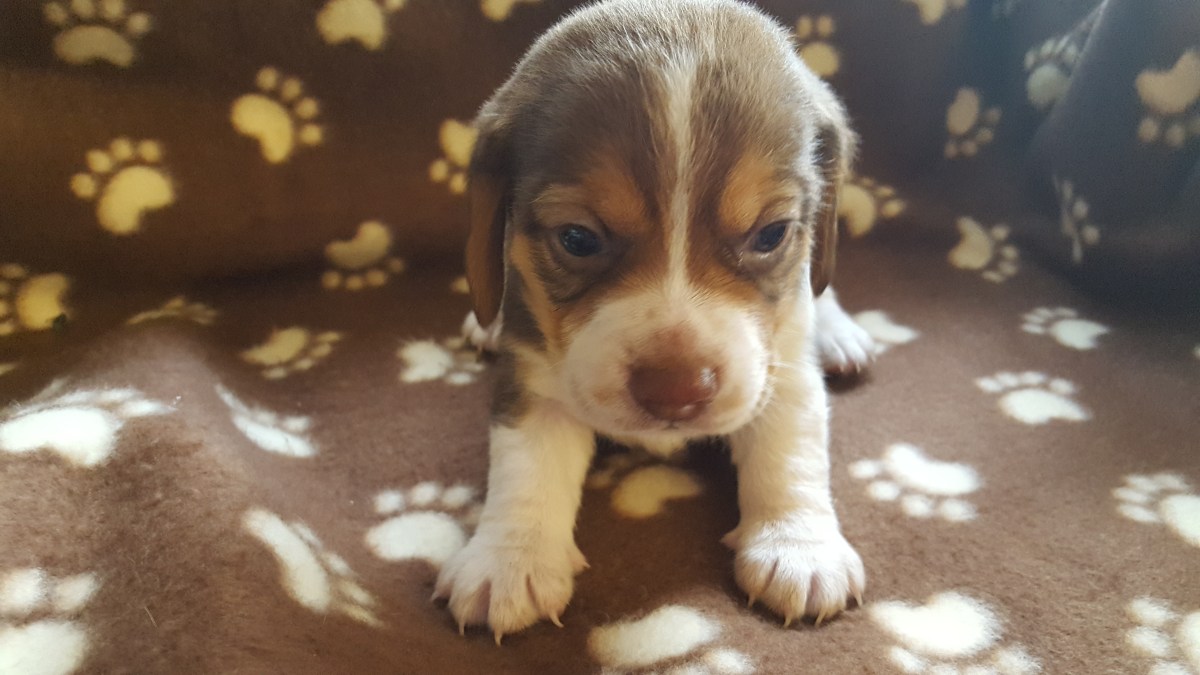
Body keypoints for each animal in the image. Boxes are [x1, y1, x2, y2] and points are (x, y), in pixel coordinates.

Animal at [435, 0, 875, 643]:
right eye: (578, 239)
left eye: (770, 235)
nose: (676, 393)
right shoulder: (532, 379)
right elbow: (525, 466)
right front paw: (509, 561)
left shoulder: (780, 367)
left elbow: (792, 448)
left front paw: (800, 549)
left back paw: (840, 333)